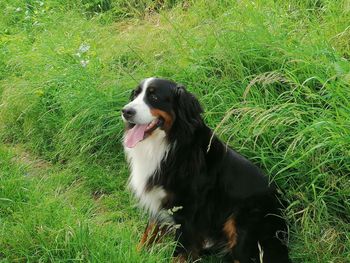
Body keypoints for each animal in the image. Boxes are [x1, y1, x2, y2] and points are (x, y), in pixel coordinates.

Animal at [121, 77, 292, 262]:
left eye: (154, 97)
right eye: (135, 94)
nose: (126, 111)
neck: (169, 145)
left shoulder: (188, 213)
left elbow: (180, 251)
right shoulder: (158, 202)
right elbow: (148, 234)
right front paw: (136, 255)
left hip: (243, 226)